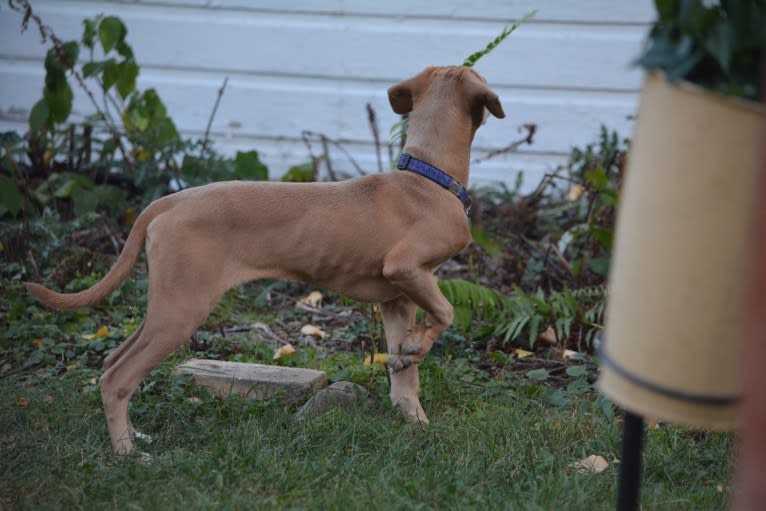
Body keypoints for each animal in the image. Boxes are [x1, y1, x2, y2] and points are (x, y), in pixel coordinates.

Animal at [27, 66, 508, 454]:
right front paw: (416, 348)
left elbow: (407, 377)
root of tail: (167, 202)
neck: (428, 178)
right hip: (182, 308)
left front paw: (414, 414)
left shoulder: (397, 298)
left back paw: (134, 434)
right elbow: (446, 311)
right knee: (118, 377)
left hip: (164, 304)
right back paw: (127, 453)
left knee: (113, 361)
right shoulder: (406, 269)